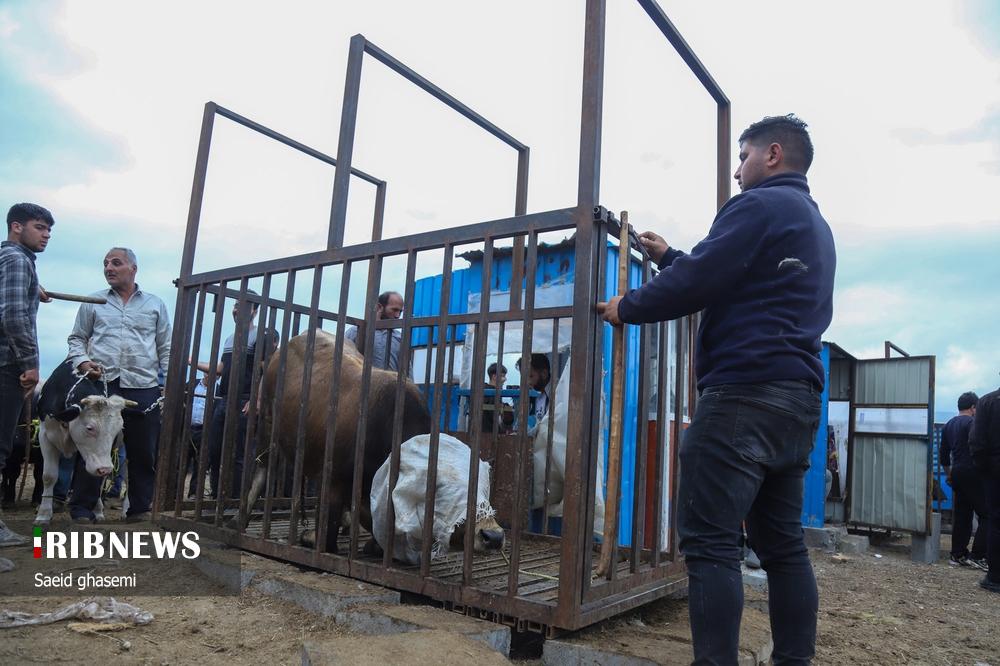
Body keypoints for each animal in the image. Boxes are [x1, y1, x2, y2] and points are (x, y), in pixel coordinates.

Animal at [33, 360, 136, 524]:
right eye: (89, 428)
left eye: (118, 429)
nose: (105, 468)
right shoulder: (45, 436)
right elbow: (49, 476)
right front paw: (43, 515)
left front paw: (97, 510)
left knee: (127, 478)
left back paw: (123, 510)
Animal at [248, 330, 504, 557]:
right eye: (444, 492)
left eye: (484, 486)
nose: (492, 536)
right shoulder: (332, 481)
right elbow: (327, 535)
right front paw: (311, 538)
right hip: (267, 424)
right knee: (262, 469)